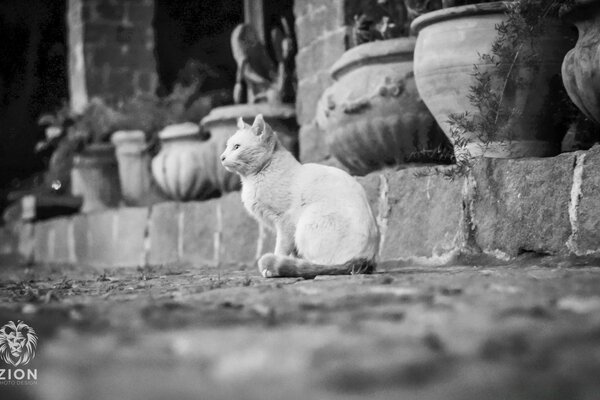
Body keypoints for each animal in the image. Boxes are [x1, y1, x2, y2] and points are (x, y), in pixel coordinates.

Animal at [220, 115, 380, 278]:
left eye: (237, 147)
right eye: (227, 146)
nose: (222, 157)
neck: (254, 178)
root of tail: (365, 259)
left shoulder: (285, 222)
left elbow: (281, 249)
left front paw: (273, 266)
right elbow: (291, 252)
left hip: (308, 220)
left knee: (320, 266)